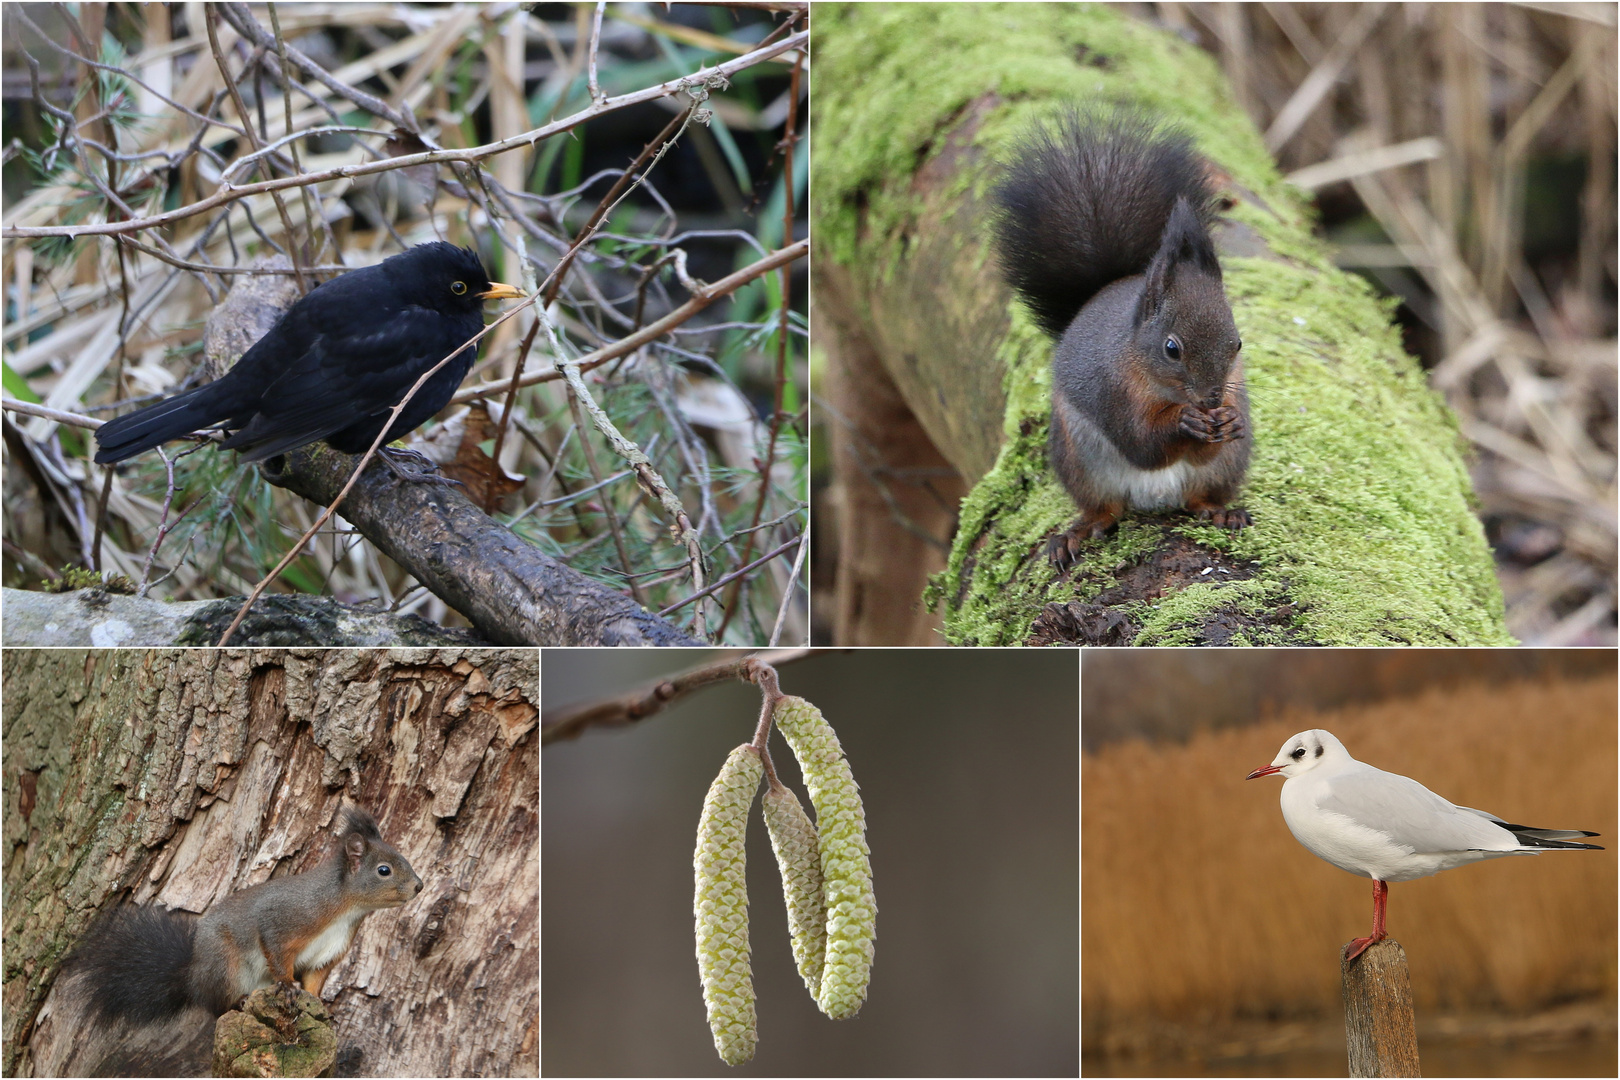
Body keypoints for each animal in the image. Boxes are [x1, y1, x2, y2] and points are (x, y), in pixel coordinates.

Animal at [984, 105, 1250, 569]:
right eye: (1171, 348)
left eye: (1236, 344)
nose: (1213, 400)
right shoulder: (1112, 393)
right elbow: (1141, 444)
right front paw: (1183, 421)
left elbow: (1206, 447)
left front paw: (1227, 419)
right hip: (1080, 460)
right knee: (1106, 509)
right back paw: (1077, 533)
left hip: (1228, 466)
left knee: (1200, 495)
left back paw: (1220, 510)